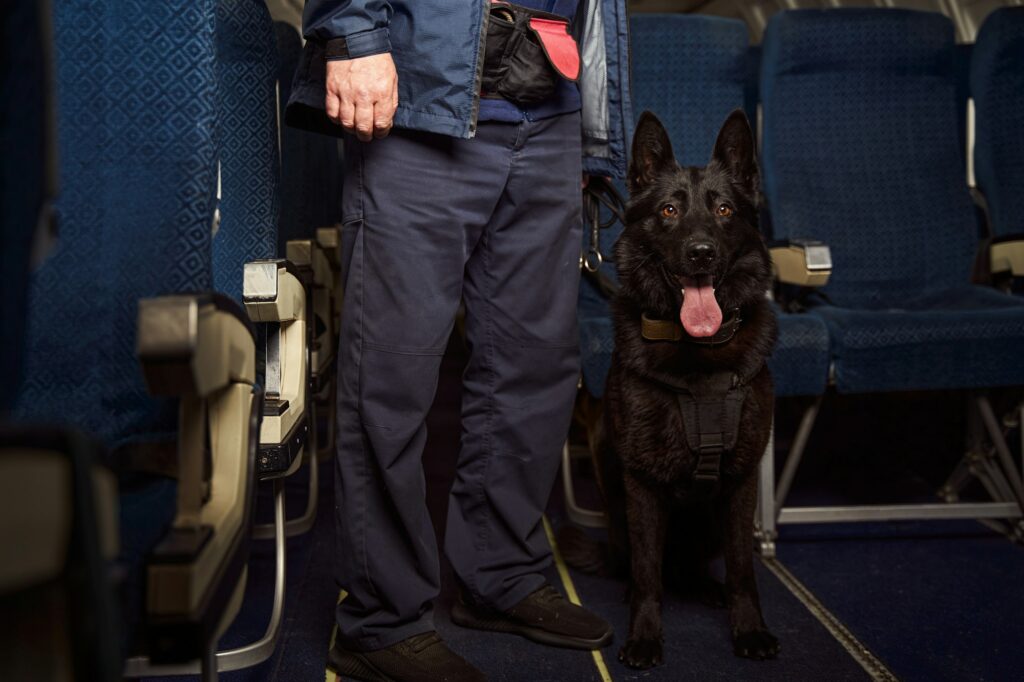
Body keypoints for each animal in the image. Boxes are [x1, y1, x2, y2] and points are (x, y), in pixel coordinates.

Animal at [593, 110, 774, 663]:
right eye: (669, 210)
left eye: (724, 209)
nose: (701, 253)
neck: (700, 353)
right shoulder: (642, 483)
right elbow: (648, 572)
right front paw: (644, 635)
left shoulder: (740, 481)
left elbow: (743, 569)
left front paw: (749, 628)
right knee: (648, 566)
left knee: (690, 567)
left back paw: (704, 587)